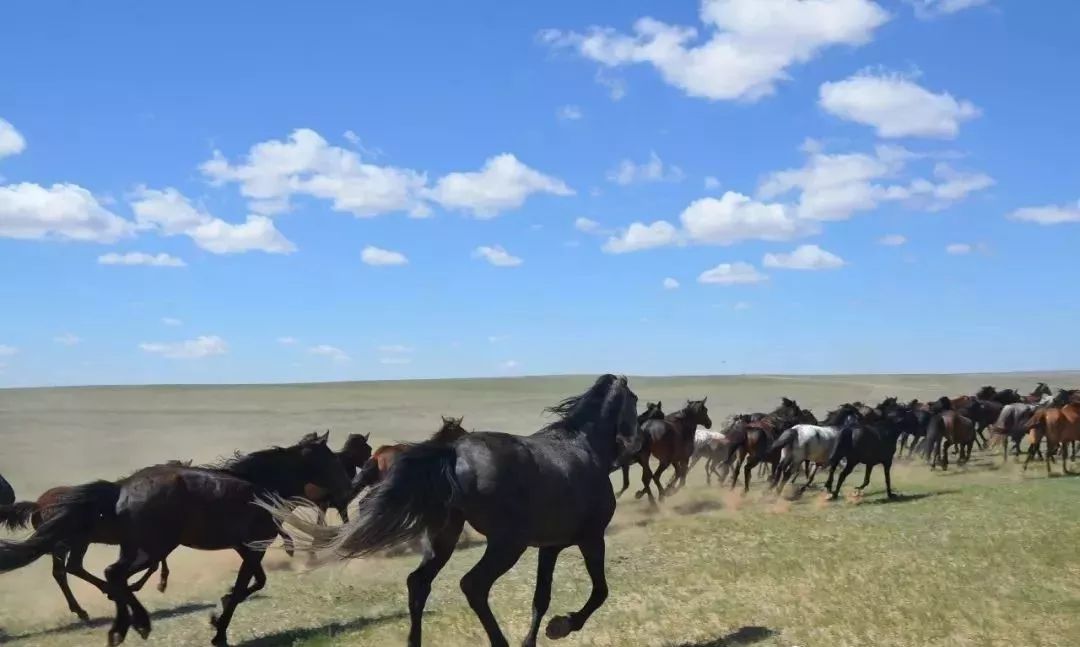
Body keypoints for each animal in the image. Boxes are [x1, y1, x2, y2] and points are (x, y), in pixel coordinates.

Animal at [258, 373, 639, 647]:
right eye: (635, 404)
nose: (635, 446)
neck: (583, 445)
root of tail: (452, 454)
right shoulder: (591, 538)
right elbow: (600, 591)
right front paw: (562, 626)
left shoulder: (550, 547)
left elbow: (540, 598)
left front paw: (539, 635)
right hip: (506, 543)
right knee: (473, 585)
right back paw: (498, 642)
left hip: (444, 535)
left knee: (418, 583)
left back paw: (415, 643)